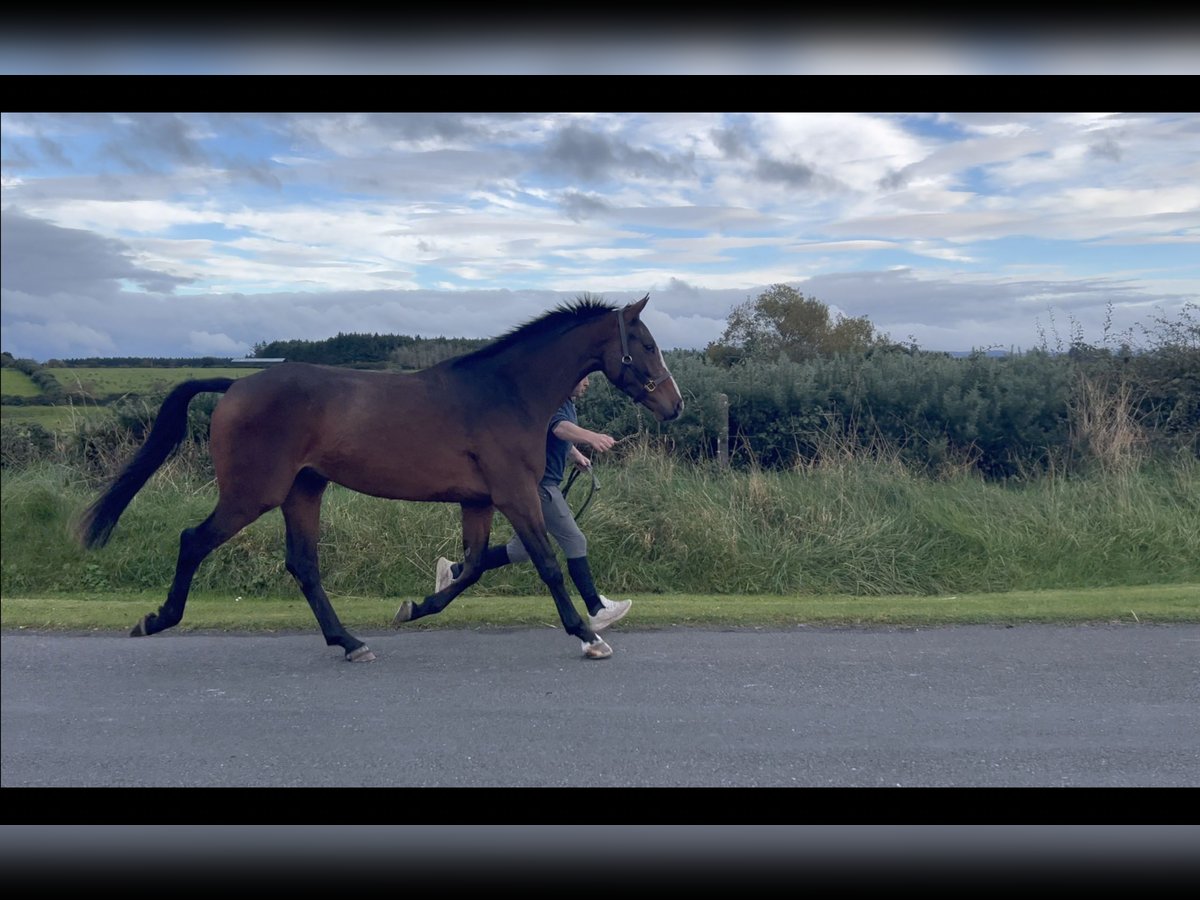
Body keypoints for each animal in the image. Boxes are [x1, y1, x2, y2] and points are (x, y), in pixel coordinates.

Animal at [75, 296, 686, 662]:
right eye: (647, 344)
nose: (675, 405)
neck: (505, 393)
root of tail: (235, 386)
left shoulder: (480, 501)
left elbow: (471, 568)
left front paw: (414, 607)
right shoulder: (517, 496)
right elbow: (548, 563)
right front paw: (588, 635)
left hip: (304, 491)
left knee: (303, 565)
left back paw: (348, 642)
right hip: (253, 494)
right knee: (193, 541)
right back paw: (157, 620)